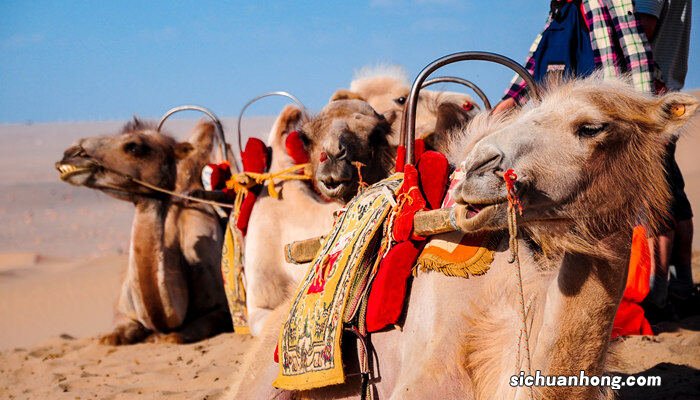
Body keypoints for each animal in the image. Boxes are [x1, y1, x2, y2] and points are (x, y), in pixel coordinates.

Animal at [55, 119, 230, 344]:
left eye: (134, 147)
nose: (70, 152)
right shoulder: (123, 311)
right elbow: (112, 337)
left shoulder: (221, 309)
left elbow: (175, 336)